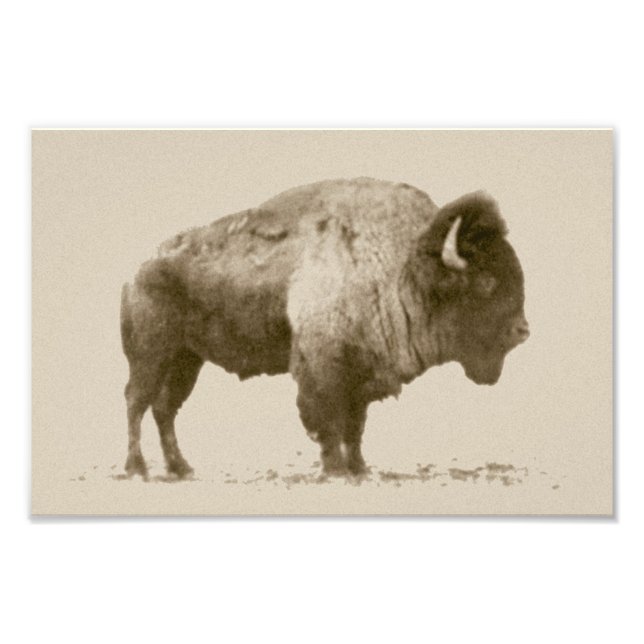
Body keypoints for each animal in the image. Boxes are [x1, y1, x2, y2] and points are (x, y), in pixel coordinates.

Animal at [120, 178, 529, 478]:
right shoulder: (323, 369)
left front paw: (360, 469)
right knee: (137, 402)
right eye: (486, 282)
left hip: (186, 360)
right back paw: (137, 468)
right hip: (151, 356)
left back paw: (180, 468)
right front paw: (336, 471)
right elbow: (328, 421)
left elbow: (355, 426)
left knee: (164, 409)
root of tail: (138, 271)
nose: (522, 330)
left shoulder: (361, 376)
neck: (402, 268)